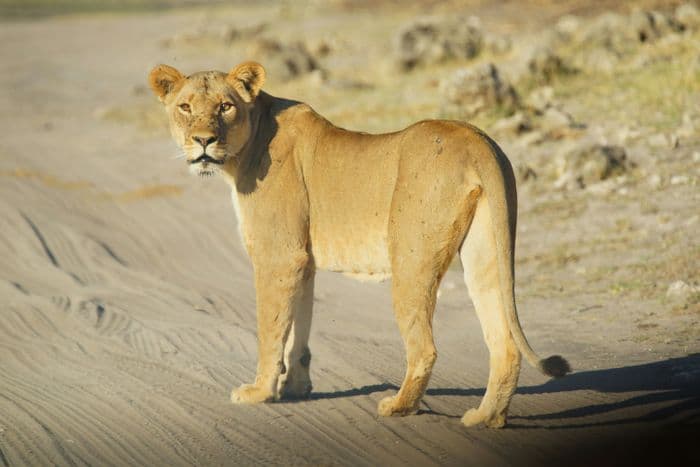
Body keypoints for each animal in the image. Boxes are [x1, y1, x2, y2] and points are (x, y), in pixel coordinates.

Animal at [148, 61, 570, 428]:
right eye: (185, 107)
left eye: (225, 106)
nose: (204, 140)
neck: (244, 152)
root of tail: (476, 138)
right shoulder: (302, 261)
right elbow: (298, 329)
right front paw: (295, 387)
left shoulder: (278, 256)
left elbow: (271, 330)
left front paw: (259, 392)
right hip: (485, 251)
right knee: (504, 343)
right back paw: (486, 417)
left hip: (411, 260)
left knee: (424, 348)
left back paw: (399, 406)